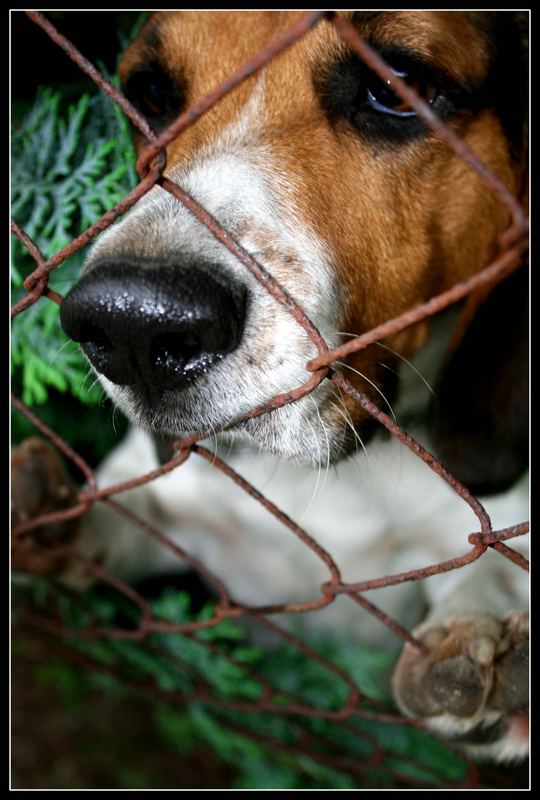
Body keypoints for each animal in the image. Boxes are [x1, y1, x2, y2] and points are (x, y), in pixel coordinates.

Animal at [11, 10, 528, 764]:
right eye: (152, 93)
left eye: (396, 89)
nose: (133, 324)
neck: (339, 473)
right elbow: (126, 517)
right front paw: (48, 512)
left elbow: (490, 572)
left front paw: (484, 633)